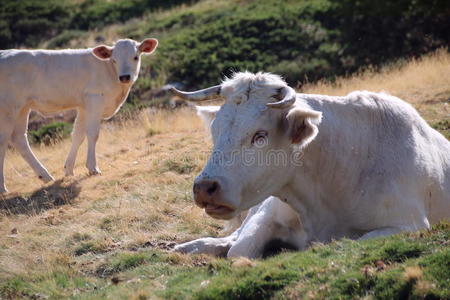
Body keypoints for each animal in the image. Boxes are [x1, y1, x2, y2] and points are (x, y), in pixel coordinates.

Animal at [0, 38, 158, 192]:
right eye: (114, 60)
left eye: (136, 57)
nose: (125, 77)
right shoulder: (95, 99)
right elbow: (93, 134)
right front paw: (93, 168)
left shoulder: (84, 107)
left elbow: (78, 135)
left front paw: (69, 170)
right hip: (7, 108)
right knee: (4, 140)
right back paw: (3, 188)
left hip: (22, 108)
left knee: (19, 138)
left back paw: (45, 176)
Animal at [171, 72, 446, 258]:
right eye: (215, 130)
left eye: (260, 135)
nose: (204, 188)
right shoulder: (267, 215)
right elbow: (239, 250)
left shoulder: (409, 224)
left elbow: (353, 240)